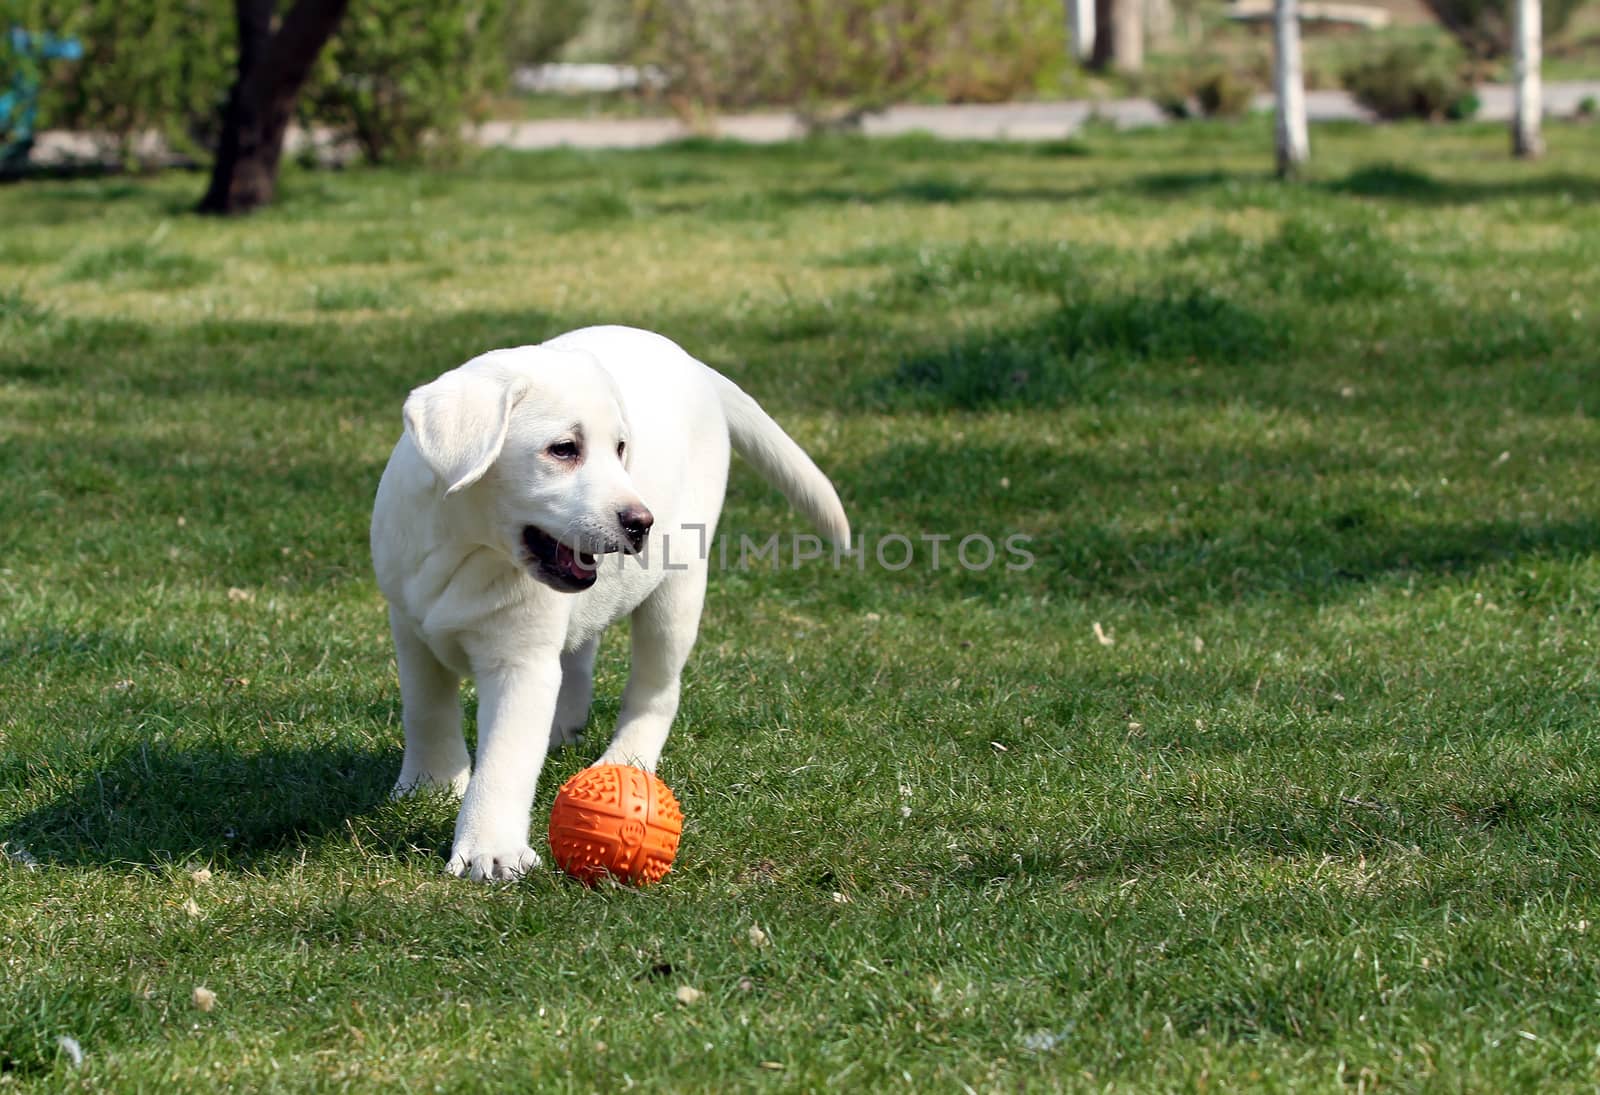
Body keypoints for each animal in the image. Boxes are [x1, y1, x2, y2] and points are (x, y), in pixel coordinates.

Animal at [372, 323, 851, 883]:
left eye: (621, 448)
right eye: (563, 449)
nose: (640, 523)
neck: (467, 545)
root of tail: (692, 362)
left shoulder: (520, 662)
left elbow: (506, 759)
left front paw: (490, 849)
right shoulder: (411, 631)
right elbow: (426, 712)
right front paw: (431, 785)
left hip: (675, 595)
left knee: (655, 690)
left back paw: (628, 756)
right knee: (581, 650)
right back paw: (565, 723)